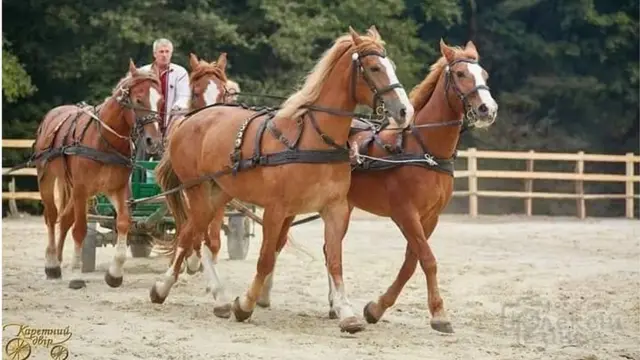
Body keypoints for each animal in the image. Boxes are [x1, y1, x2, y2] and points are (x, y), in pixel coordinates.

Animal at [32, 59, 164, 290]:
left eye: (161, 101)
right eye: (139, 99)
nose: (154, 142)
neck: (104, 141)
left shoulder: (117, 189)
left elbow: (123, 223)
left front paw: (115, 274)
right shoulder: (82, 189)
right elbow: (80, 229)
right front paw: (77, 275)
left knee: (64, 219)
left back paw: (59, 260)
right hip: (47, 178)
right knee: (52, 216)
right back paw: (52, 264)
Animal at [154, 25, 416, 334]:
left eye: (391, 66)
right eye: (374, 67)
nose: (405, 111)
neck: (314, 139)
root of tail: (191, 119)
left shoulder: (335, 209)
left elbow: (334, 259)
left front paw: (346, 312)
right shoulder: (276, 210)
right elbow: (266, 259)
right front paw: (245, 304)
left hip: (219, 193)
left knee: (197, 236)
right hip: (197, 191)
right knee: (189, 236)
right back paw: (164, 287)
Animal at [256, 38, 500, 332]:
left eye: (484, 75)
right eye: (462, 74)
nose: (488, 109)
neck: (423, 149)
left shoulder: (430, 218)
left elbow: (411, 263)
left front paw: (376, 308)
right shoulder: (405, 213)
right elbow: (428, 260)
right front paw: (439, 314)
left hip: (343, 207)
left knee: (327, 249)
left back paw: (334, 305)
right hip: (294, 204)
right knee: (279, 242)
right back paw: (263, 295)